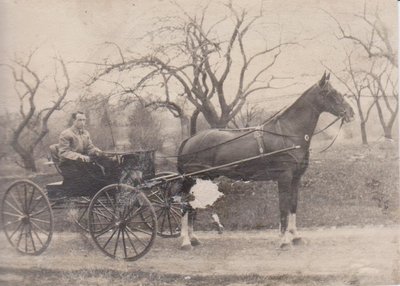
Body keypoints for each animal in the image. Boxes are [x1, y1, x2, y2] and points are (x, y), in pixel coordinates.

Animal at [175, 72, 354, 249]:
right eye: (331, 93)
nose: (351, 112)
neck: (288, 133)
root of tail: (190, 139)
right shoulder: (284, 177)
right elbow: (283, 208)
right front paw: (284, 240)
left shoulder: (296, 178)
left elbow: (293, 206)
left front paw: (295, 236)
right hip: (193, 178)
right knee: (185, 205)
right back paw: (185, 241)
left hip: (203, 178)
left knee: (192, 205)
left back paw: (193, 238)